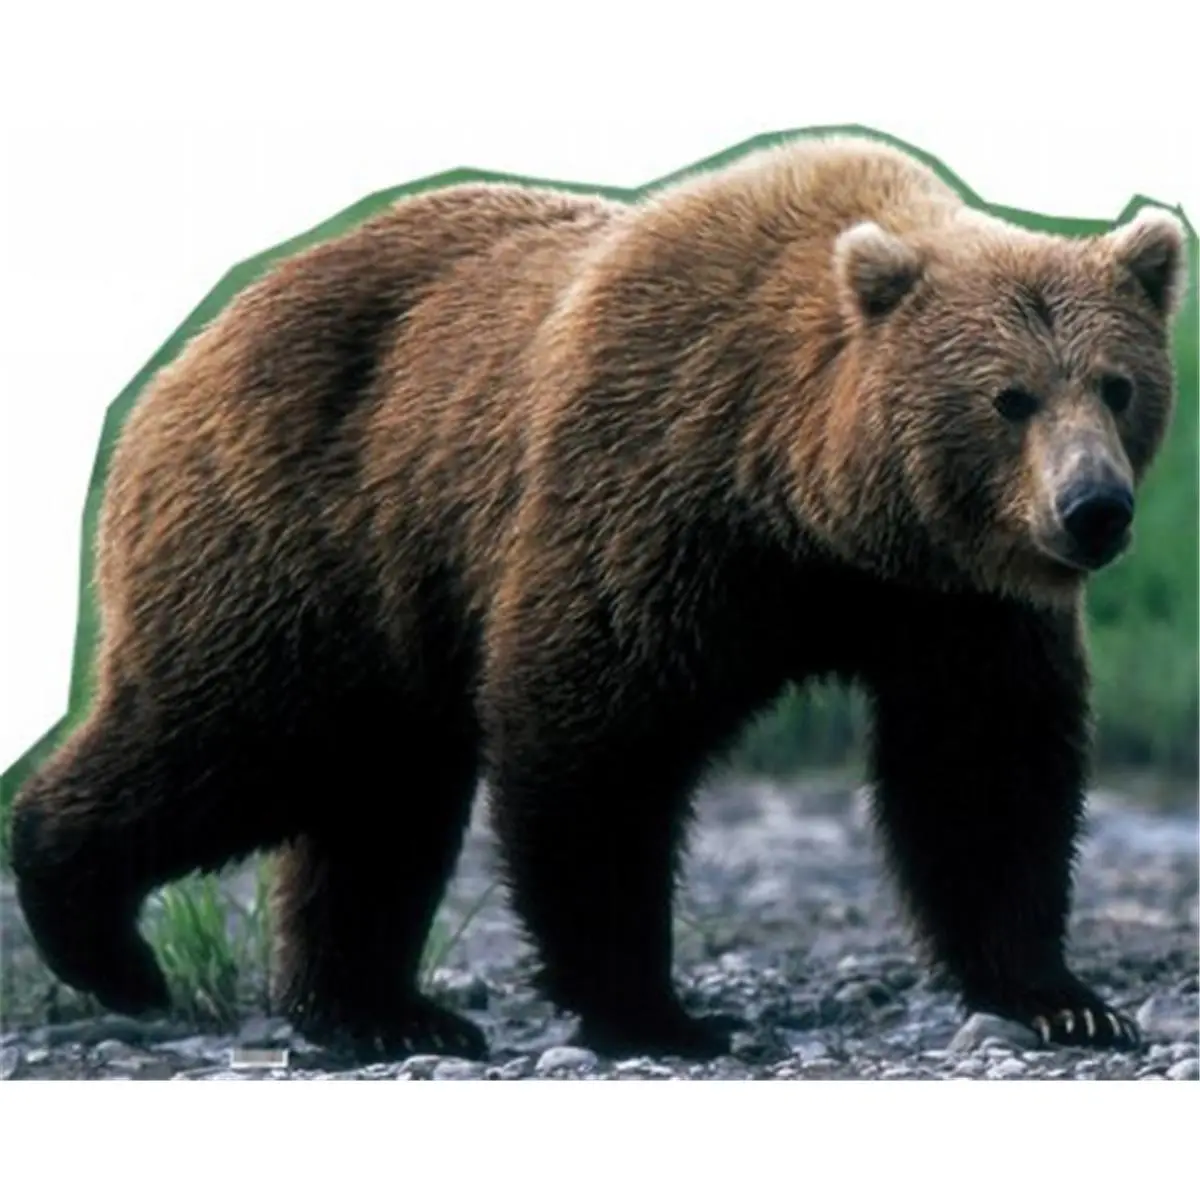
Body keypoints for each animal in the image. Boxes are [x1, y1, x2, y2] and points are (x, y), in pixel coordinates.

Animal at [8, 134, 1189, 1063]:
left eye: (1117, 384)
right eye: (1008, 397)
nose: (1093, 509)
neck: (814, 507)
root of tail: (191, 346)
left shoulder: (955, 604)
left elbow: (985, 774)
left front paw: (1065, 1000)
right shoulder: (653, 491)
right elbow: (598, 736)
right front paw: (657, 1012)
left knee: (380, 791)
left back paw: (379, 1007)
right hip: (305, 527)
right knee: (239, 733)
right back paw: (100, 934)